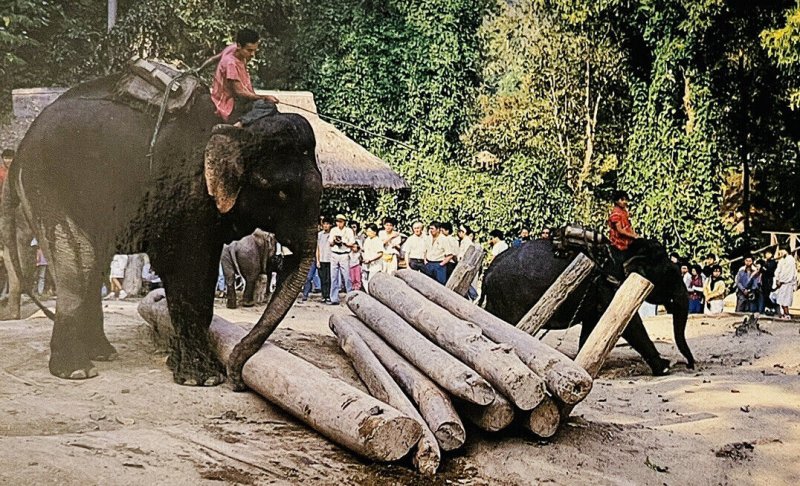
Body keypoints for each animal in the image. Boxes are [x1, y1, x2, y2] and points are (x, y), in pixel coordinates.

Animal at [3, 73, 322, 392]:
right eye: (281, 192)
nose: (237, 381)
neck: (240, 128)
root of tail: (21, 147)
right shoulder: (184, 196)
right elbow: (187, 268)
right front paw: (203, 379)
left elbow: (203, 272)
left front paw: (184, 367)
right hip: (47, 184)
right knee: (81, 263)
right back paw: (77, 371)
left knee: (93, 265)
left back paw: (102, 354)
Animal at [482, 239, 692, 376]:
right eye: (672, 274)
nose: (690, 365)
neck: (625, 252)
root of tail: (487, 273)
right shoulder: (610, 285)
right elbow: (631, 324)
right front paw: (664, 368)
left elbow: (592, 325)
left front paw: (583, 364)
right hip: (509, 298)